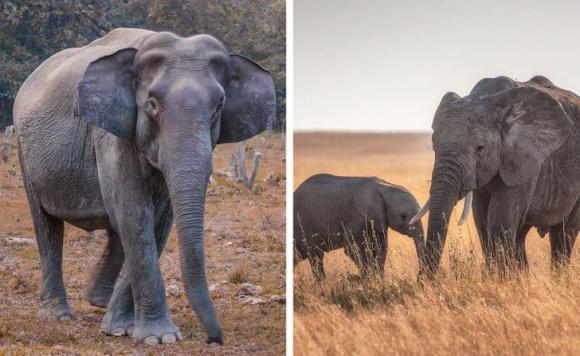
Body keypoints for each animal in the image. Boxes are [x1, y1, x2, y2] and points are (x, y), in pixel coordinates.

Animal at [13, 27, 276, 344]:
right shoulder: (111, 135)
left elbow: (158, 220)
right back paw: (58, 315)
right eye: (152, 104)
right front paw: (158, 338)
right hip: (24, 151)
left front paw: (122, 329)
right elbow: (135, 212)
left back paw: (98, 300)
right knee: (47, 224)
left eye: (219, 106)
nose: (215, 339)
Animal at [294, 174, 426, 280]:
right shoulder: (356, 217)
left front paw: (378, 280)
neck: (384, 187)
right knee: (316, 256)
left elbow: (381, 248)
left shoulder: (377, 221)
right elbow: (353, 249)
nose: (419, 277)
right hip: (304, 226)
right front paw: (369, 280)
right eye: (403, 217)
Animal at [408, 75, 580, 276]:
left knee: (563, 235)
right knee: (521, 235)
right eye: (434, 146)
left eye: (480, 148)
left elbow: (499, 222)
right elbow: (482, 221)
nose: (423, 281)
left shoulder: (524, 160)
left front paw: (502, 279)